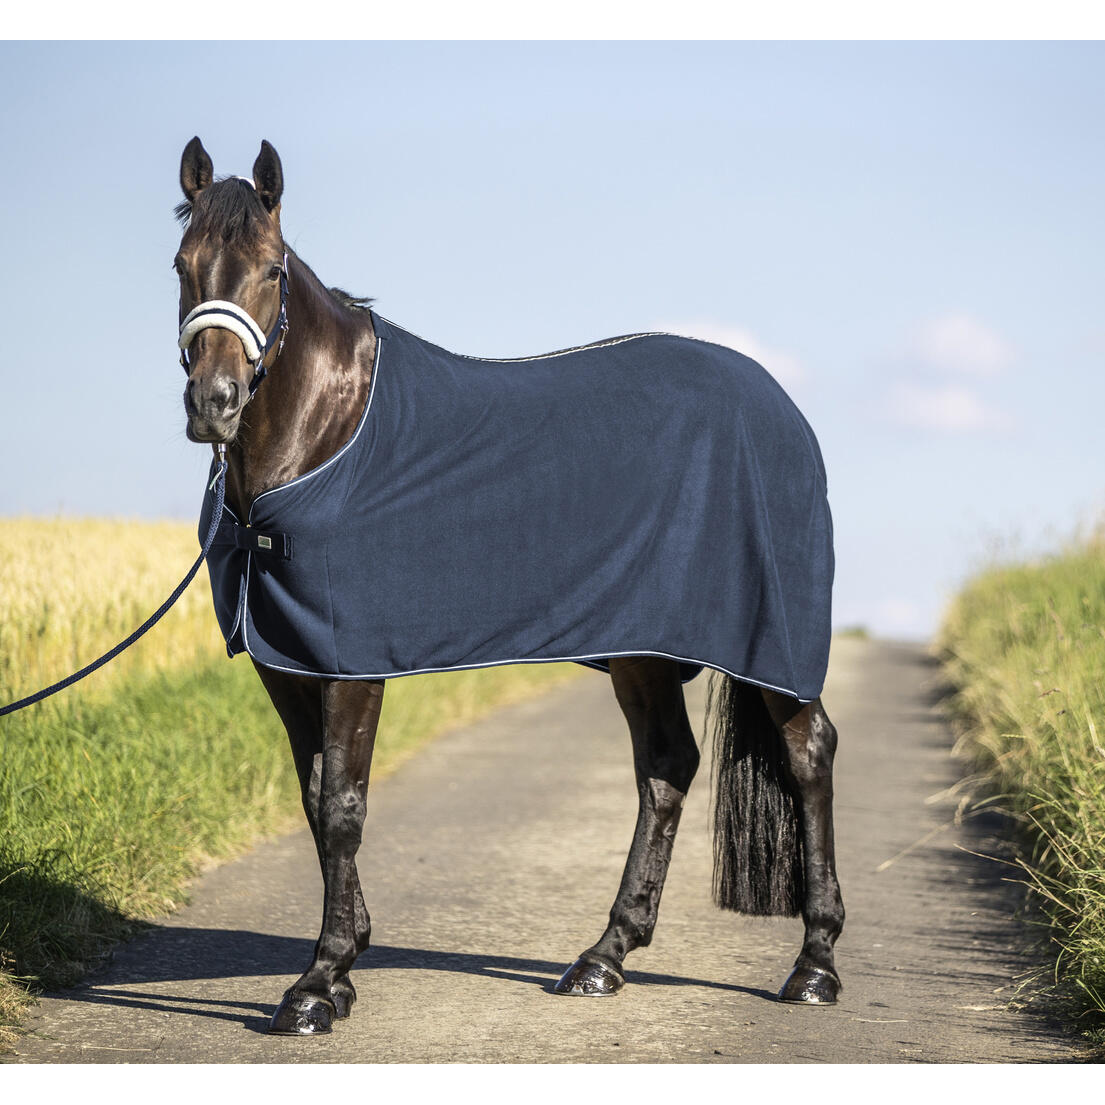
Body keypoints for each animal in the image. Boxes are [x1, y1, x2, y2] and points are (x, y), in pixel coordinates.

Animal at [174, 137, 845, 1036]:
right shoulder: (284, 663)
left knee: (808, 755)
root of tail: (784, 409)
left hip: (767, 643)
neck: (325, 432)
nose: (213, 404)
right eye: (182, 266)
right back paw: (604, 955)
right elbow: (316, 802)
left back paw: (814, 964)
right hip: (641, 648)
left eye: (272, 270)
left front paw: (317, 983)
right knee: (666, 765)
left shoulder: (351, 663)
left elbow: (345, 805)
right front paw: (344, 964)